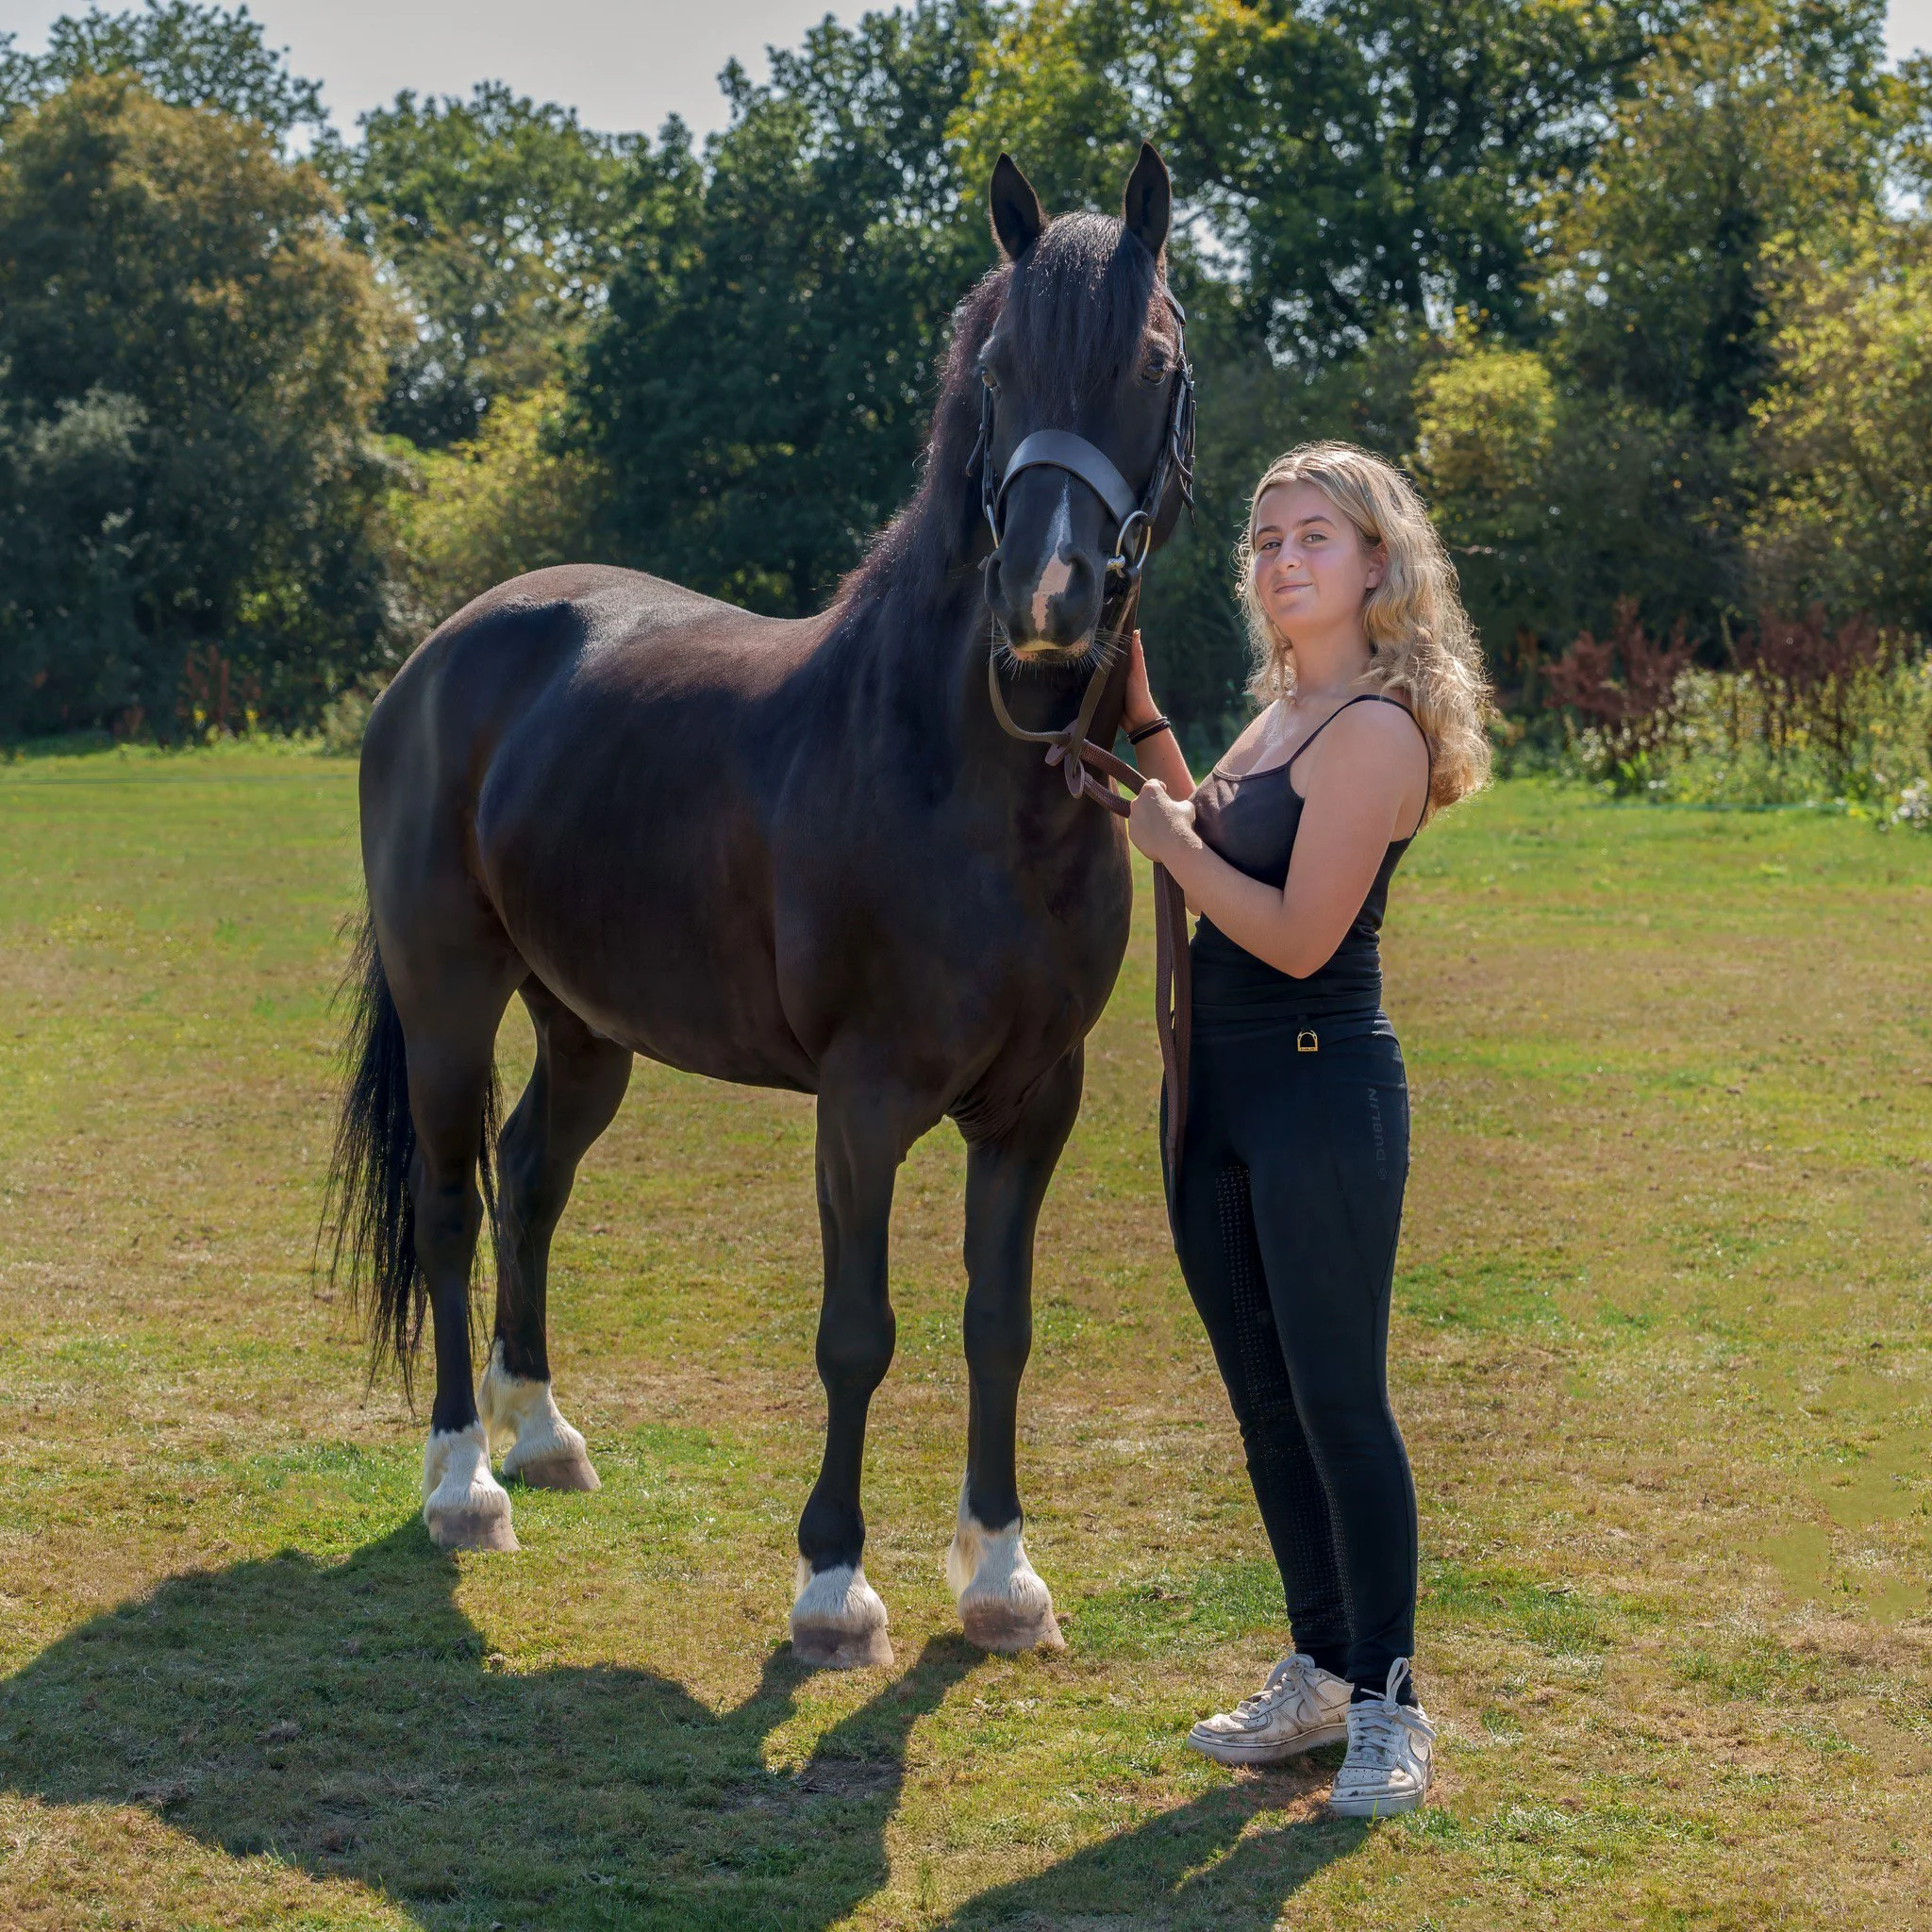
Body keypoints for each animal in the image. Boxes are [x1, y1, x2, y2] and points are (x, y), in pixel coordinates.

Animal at [324, 144, 1196, 1669]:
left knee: (530, 1178)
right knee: (446, 1202)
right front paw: (835, 1588)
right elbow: (859, 1331)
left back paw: (541, 1432)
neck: (964, 776)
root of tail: (444, 650)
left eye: (1149, 362)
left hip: (584, 1025)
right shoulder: (862, 1100)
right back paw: (462, 1483)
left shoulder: (1039, 1099)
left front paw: (1001, 1575)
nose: (1047, 604)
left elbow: (999, 1322)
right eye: (1000, 371)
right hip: (449, 999)